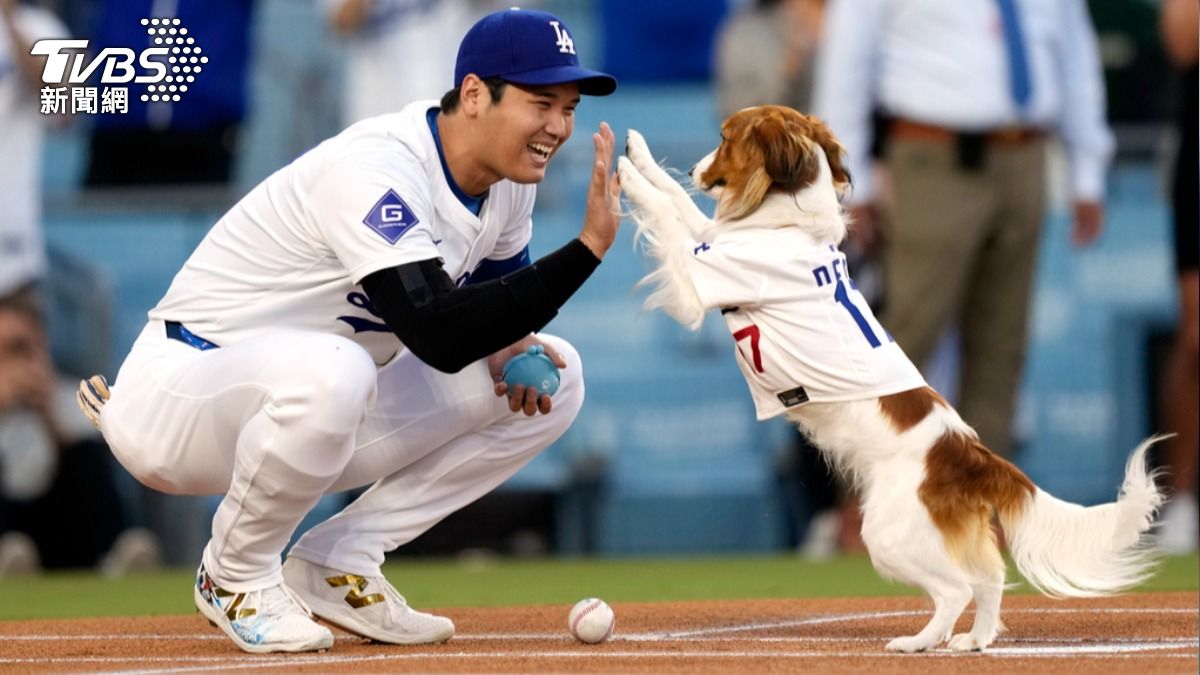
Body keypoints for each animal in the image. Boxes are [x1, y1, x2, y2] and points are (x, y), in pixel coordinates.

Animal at [619, 106, 1161, 653]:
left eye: (725, 138)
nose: (696, 168)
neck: (790, 222)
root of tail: (969, 453)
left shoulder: (698, 283)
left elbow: (667, 213)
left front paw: (625, 175)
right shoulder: (712, 241)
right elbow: (678, 203)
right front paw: (639, 156)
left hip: (887, 535)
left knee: (956, 589)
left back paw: (919, 641)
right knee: (988, 580)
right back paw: (973, 641)